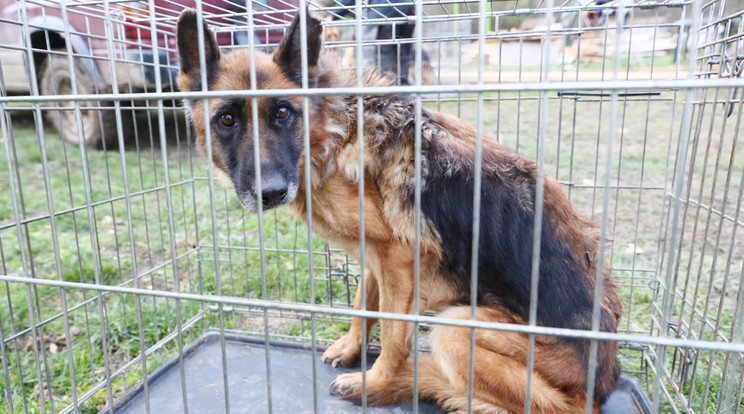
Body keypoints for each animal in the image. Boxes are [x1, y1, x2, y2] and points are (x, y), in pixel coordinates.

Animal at [179, 9, 620, 414]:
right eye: (227, 119)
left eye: (283, 113)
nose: (270, 192)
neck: (335, 135)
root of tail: (599, 387)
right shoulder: (375, 259)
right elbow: (362, 308)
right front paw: (352, 349)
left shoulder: (399, 259)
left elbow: (392, 334)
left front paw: (375, 381)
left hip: (457, 329)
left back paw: (406, 383)